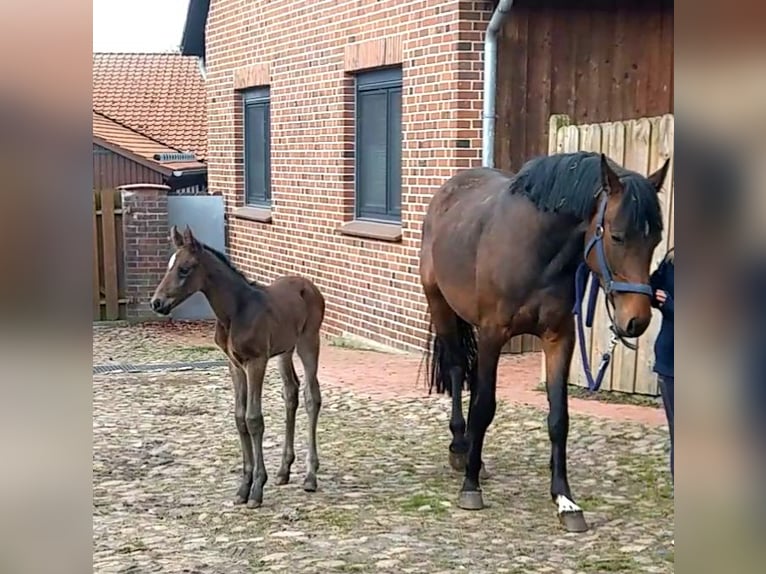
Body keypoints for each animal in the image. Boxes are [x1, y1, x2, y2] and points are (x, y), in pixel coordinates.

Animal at [150, 226, 325, 508]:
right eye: (169, 265)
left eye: (184, 269)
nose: (157, 303)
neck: (235, 311)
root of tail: (309, 285)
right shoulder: (234, 364)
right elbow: (239, 418)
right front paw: (243, 487)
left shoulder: (256, 362)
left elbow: (254, 419)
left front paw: (256, 490)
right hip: (284, 351)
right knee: (291, 393)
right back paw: (284, 471)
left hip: (308, 342)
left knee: (312, 396)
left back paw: (310, 476)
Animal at [420, 151, 670, 532]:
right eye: (616, 236)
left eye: (655, 239)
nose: (637, 320)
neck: (538, 253)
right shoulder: (492, 334)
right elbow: (485, 406)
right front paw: (471, 487)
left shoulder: (559, 338)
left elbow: (558, 418)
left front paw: (565, 500)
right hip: (441, 305)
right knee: (456, 368)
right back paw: (461, 449)